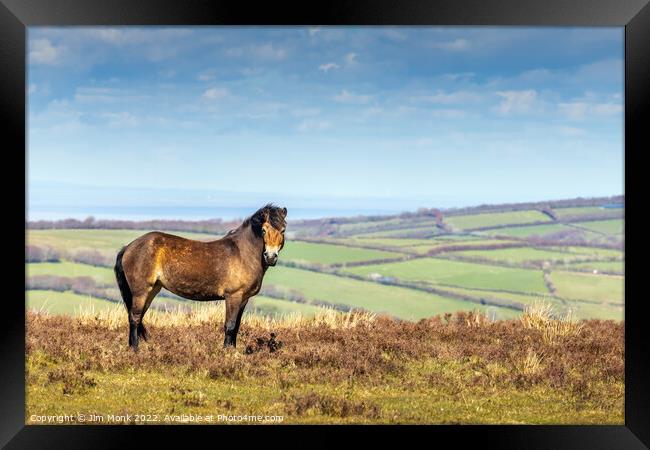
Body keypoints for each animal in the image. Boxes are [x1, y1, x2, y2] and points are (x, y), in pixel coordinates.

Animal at [112, 206, 284, 350]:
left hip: (152, 290)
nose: (270, 257)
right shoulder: (233, 296)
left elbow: (237, 326)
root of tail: (129, 247)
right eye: (263, 230)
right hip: (141, 291)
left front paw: (233, 350)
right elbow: (230, 325)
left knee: (138, 317)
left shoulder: (244, 299)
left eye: (283, 230)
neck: (243, 253)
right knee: (134, 318)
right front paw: (226, 352)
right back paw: (135, 349)